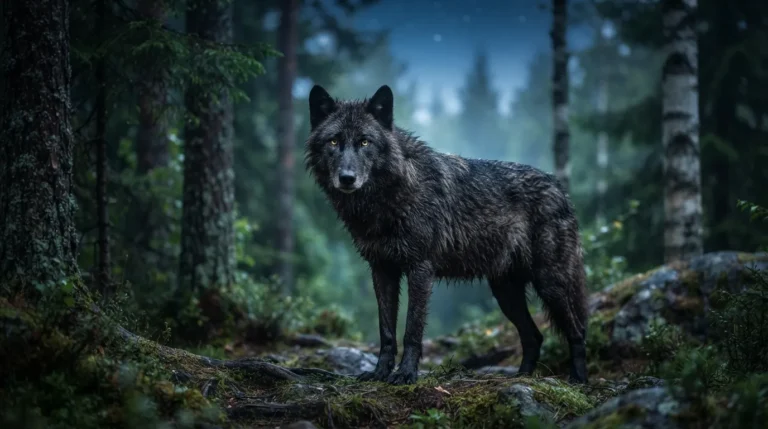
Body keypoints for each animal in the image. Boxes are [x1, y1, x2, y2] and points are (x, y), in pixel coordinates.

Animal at [304, 84, 589, 385]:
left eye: (365, 142)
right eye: (333, 141)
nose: (347, 178)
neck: (390, 195)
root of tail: (559, 188)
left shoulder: (420, 269)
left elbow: (412, 330)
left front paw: (406, 374)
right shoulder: (382, 270)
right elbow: (387, 331)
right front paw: (379, 373)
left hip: (550, 283)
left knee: (577, 331)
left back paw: (578, 381)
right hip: (505, 293)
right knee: (534, 336)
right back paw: (520, 378)